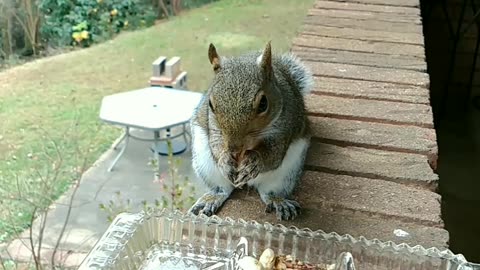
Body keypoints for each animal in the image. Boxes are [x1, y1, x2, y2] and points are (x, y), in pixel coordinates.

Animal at [188, 41, 316, 220]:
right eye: (211, 105)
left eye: (263, 103)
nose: (234, 148)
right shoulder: (213, 128)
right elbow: (216, 146)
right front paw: (224, 159)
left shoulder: (285, 128)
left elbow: (273, 155)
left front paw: (255, 162)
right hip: (204, 162)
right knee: (222, 189)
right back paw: (213, 197)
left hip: (288, 171)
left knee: (270, 191)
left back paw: (278, 201)